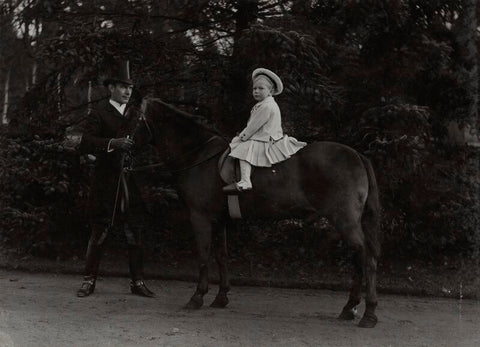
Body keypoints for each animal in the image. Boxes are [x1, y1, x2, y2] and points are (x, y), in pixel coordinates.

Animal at [127, 98, 382, 328]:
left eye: (134, 117)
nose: (124, 146)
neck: (198, 156)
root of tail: (357, 155)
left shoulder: (200, 217)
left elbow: (203, 256)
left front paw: (197, 296)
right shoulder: (219, 220)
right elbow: (221, 256)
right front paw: (221, 297)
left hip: (344, 221)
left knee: (367, 259)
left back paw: (369, 314)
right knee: (358, 258)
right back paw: (349, 308)